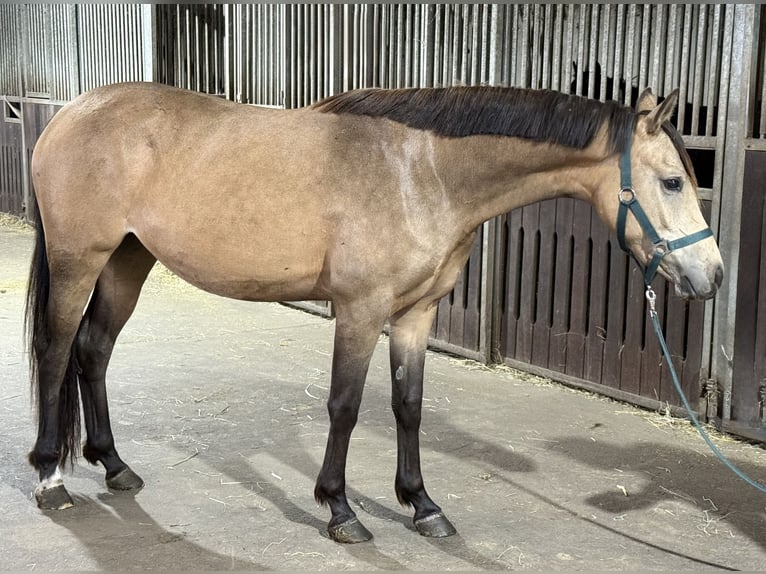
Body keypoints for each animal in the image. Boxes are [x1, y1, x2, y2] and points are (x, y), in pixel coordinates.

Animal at [25, 82, 723, 543]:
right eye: (672, 182)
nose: (711, 276)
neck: (423, 173)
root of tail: (70, 113)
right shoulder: (360, 311)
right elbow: (345, 405)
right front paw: (340, 510)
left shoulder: (416, 315)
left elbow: (407, 406)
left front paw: (422, 505)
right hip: (79, 259)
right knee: (56, 350)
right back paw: (49, 477)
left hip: (127, 260)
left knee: (93, 349)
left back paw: (114, 466)